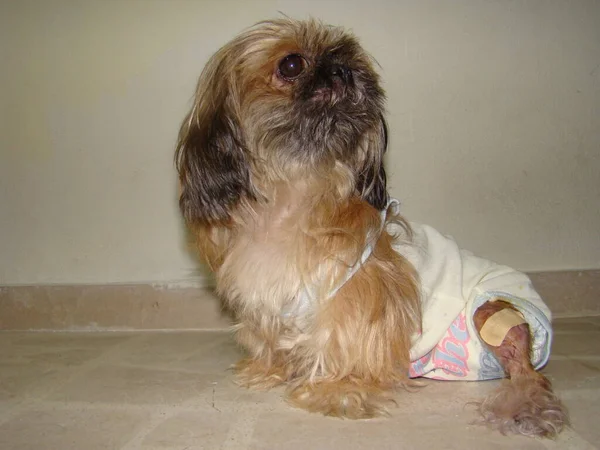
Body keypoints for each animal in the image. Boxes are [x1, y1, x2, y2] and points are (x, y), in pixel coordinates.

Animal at [176, 17, 568, 436]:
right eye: (291, 64)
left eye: (352, 60)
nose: (343, 70)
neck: (292, 199)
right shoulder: (268, 303)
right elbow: (271, 338)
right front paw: (270, 370)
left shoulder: (358, 290)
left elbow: (346, 341)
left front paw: (338, 390)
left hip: (493, 308)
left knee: (525, 369)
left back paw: (521, 404)